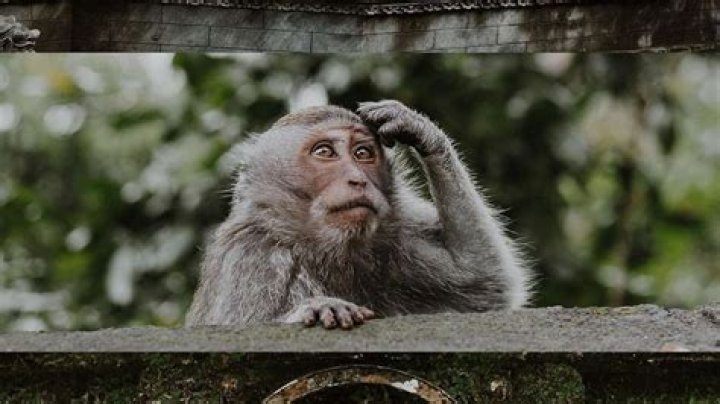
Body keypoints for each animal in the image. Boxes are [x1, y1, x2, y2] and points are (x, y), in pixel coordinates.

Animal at [185, 100, 531, 330]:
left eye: (362, 153)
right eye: (324, 152)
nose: (358, 179)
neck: (320, 248)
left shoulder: (398, 237)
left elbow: (484, 281)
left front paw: (422, 131)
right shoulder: (251, 255)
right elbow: (234, 323)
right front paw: (316, 309)